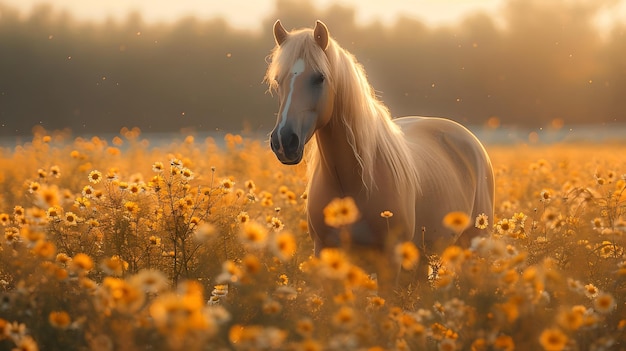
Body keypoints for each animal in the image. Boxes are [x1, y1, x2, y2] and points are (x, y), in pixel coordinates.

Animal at [264, 20, 492, 286]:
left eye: (319, 77)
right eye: (278, 80)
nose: (284, 142)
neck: (350, 184)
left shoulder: (390, 260)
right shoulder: (326, 252)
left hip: (474, 242)